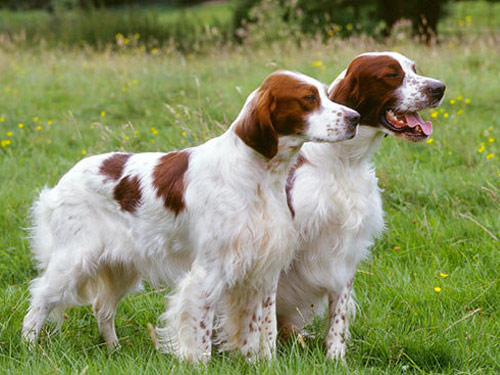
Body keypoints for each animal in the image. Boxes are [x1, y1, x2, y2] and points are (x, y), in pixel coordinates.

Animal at [22, 70, 360, 362]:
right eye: (309, 98)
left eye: (327, 94)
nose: (355, 118)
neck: (258, 176)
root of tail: (63, 180)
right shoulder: (208, 271)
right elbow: (201, 333)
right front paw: (199, 362)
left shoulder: (263, 271)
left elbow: (261, 329)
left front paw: (261, 363)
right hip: (72, 261)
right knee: (38, 302)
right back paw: (28, 349)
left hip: (121, 267)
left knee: (102, 308)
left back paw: (114, 349)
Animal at [278, 51, 446, 360]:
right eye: (391, 74)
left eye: (414, 69)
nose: (439, 88)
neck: (343, 160)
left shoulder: (346, 251)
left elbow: (338, 314)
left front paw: (335, 358)